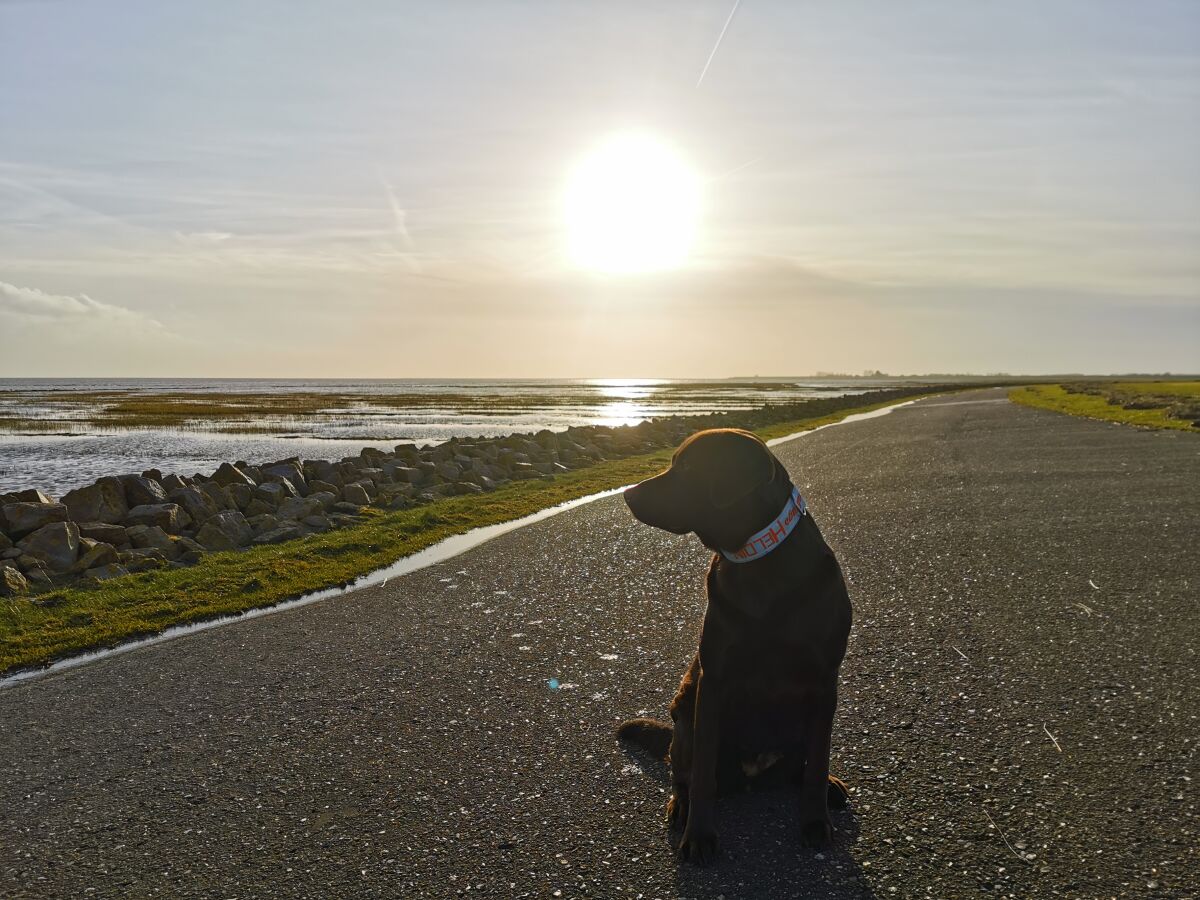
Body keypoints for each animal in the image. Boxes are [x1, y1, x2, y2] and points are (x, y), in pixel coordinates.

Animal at [619, 429, 854, 868]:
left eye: (687, 467)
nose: (627, 493)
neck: (759, 561)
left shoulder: (824, 680)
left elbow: (818, 760)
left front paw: (816, 821)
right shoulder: (713, 680)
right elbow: (702, 778)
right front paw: (699, 836)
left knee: (804, 766)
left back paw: (828, 785)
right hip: (685, 711)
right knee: (683, 772)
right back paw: (681, 806)